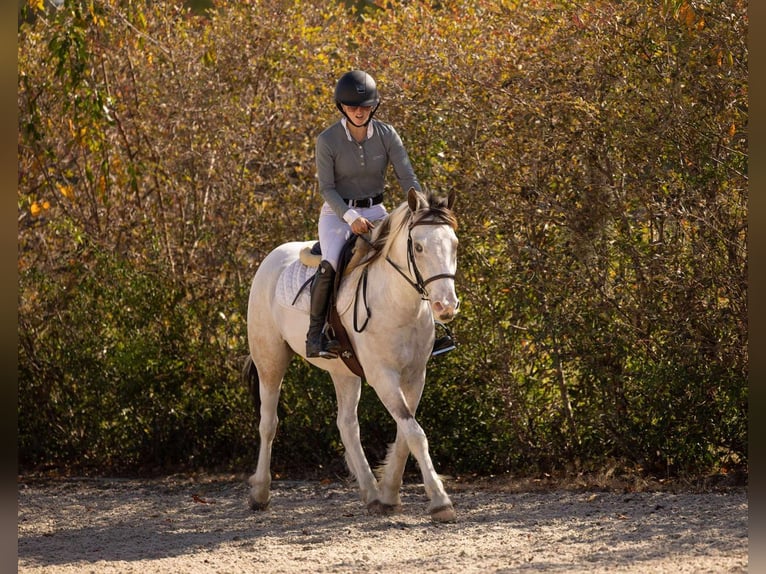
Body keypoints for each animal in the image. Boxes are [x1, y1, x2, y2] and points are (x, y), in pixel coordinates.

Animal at [242, 187, 460, 522]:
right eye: (418, 246)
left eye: (455, 245)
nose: (445, 306)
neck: (397, 301)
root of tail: (273, 256)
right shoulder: (383, 376)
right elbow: (414, 432)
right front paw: (440, 501)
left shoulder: (414, 375)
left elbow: (405, 432)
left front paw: (389, 494)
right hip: (270, 360)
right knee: (268, 423)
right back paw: (260, 493)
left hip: (343, 371)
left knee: (347, 425)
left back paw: (371, 493)